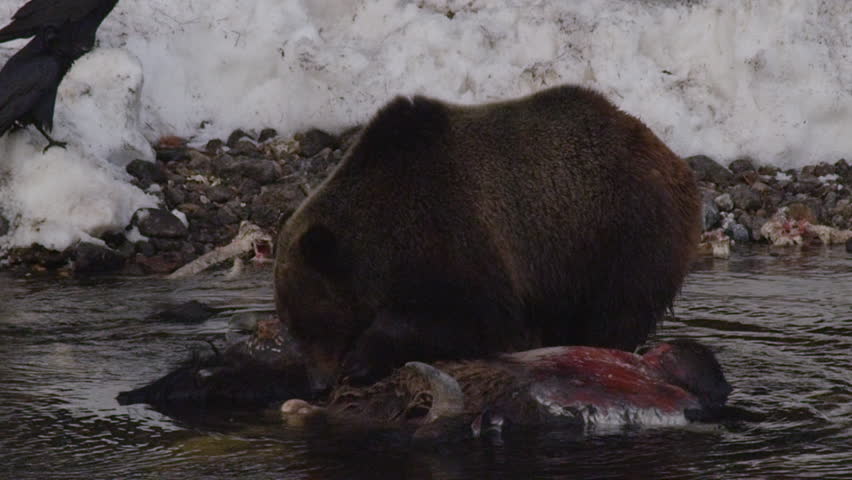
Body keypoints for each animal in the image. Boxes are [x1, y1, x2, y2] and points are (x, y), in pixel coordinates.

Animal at [274, 85, 701, 389]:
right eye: (291, 324)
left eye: (310, 322)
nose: (317, 383)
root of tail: (673, 159)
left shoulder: (454, 232)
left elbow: (470, 315)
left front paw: (362, 359)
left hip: (620, 231)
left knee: (615, 311)